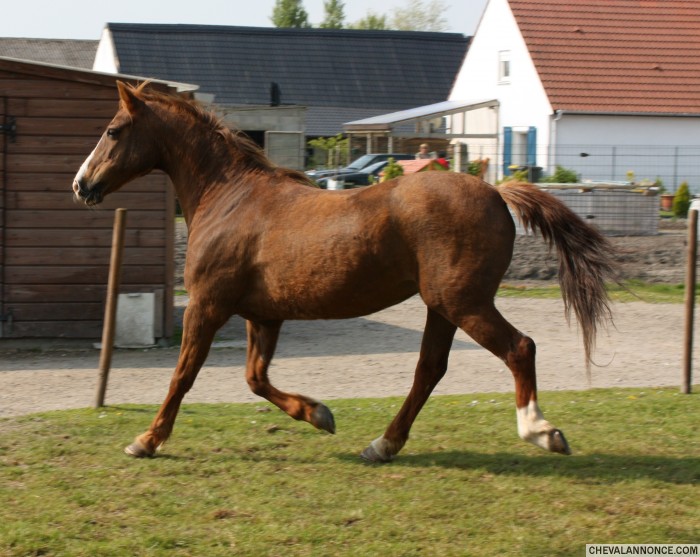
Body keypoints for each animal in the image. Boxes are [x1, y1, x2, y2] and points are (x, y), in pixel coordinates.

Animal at [72, 81, 616, 460]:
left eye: (113, 131)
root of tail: (496, 192)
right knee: (429, 370)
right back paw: (383, 445)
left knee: (518, 348)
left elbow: (183, 375)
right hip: (442, 306)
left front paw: (147, 440)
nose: (81, 184)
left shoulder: (208, 306)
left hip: (464, 303)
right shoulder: (262, 316)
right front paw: (318, 414)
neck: (229, 198)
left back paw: (541, 432)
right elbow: (255, 379)